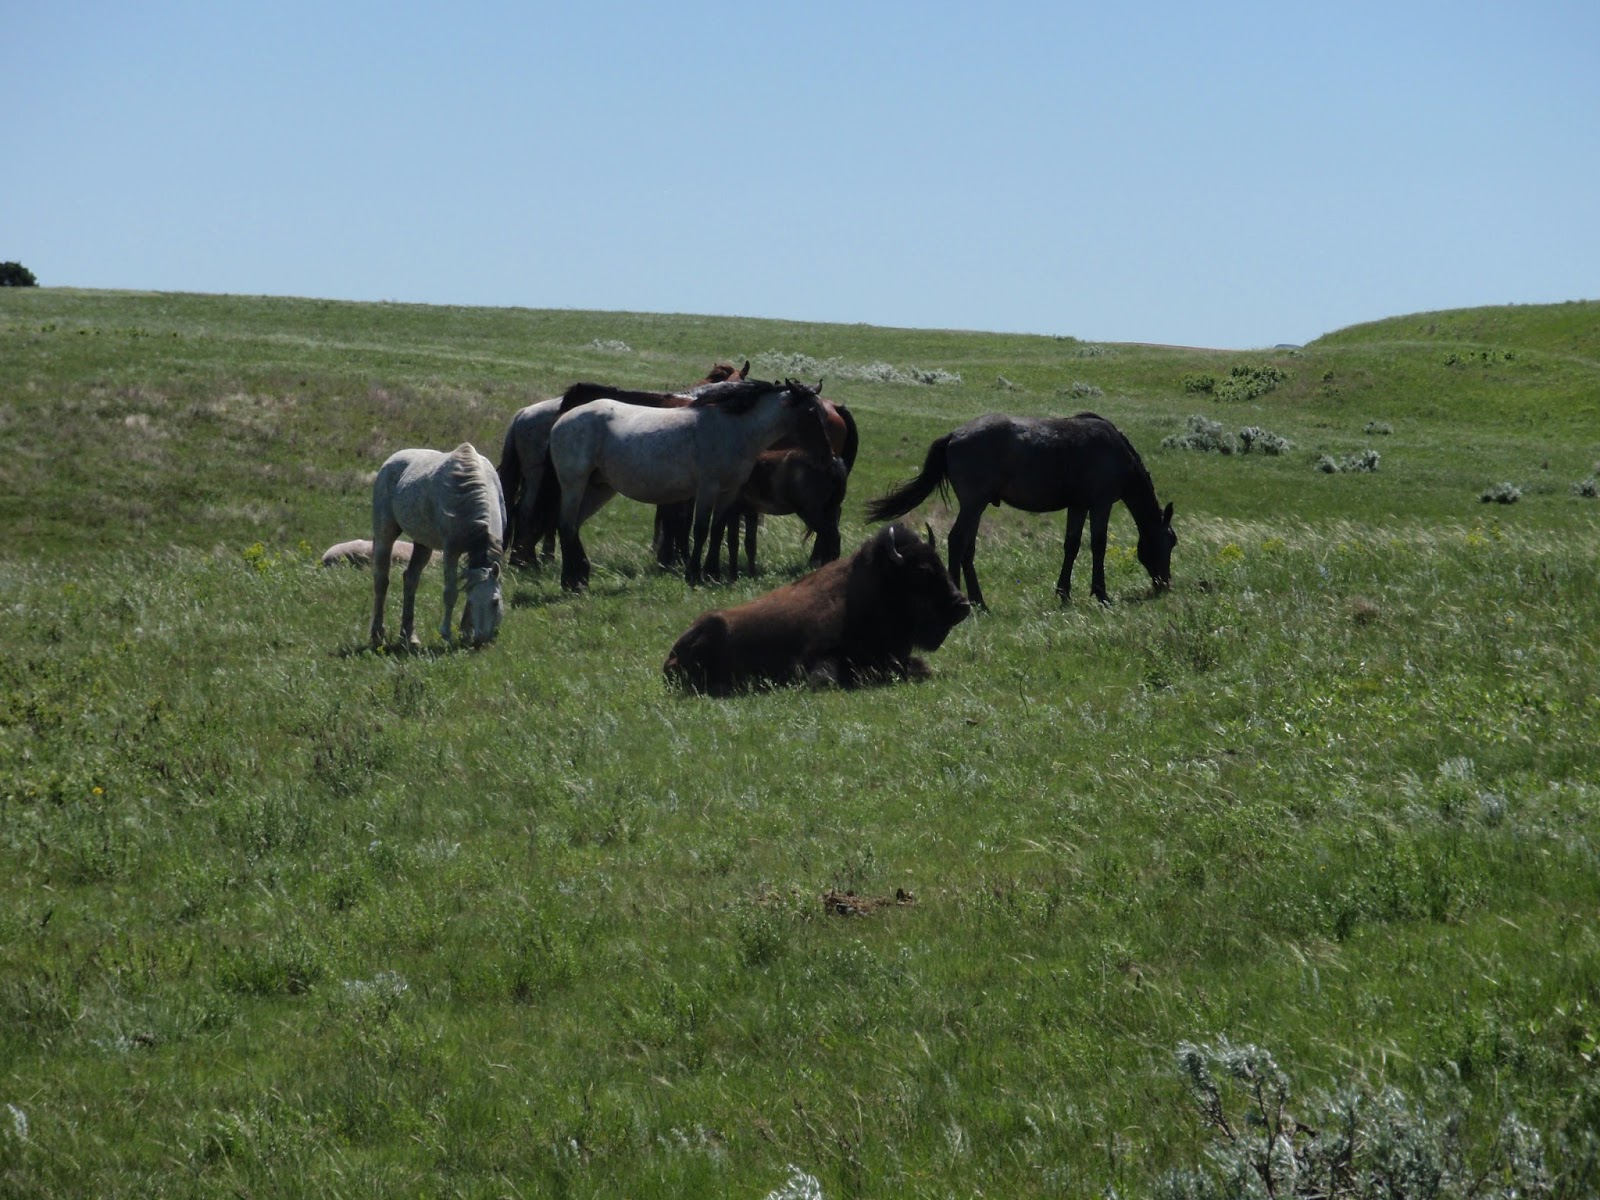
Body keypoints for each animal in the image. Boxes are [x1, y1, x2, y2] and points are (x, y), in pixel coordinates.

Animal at [370, 443, 506, 648]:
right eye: (472, 602)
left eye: (495, 602)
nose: (481, 639)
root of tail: (390, 461)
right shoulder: (451, 552)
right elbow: (450, 593)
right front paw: (447, 635)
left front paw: (465, 632)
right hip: (384, 534)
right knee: (381, 581)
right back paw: (377, 634)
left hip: (423, 544)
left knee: (411, 579)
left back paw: (409, 636)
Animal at [495, 362, 745, 567]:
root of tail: (523, 414)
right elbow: (676, 520)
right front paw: (671, 558)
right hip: (540, 477)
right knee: (531, 510)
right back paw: (529, 558)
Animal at [531, 378, 835, 590]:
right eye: (810, 413)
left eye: (823, 414)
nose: (828, 457)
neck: (733, 429)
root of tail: (561, 420)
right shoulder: (707, 488)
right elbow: (700, 531)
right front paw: (694, 575)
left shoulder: (728, 492)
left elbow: (717, 530)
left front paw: (712, 573)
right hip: (574, 485)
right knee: (566, 525)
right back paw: (570, 582)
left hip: (598, 489)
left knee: (573, 526)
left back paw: (581, 576)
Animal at [865, 412, 1175, 608]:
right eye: (1170, 542)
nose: (1165, 584)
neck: (1117, 452)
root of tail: (953, 435)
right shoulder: (1101, 504)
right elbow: (1098, 545)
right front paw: (1101, 593)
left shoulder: (1078, 506)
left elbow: (1072, 545)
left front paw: (1064, 593)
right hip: (974, 504)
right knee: (957, 541)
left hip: (976, 507)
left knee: (967, 547)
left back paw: (978, 600)